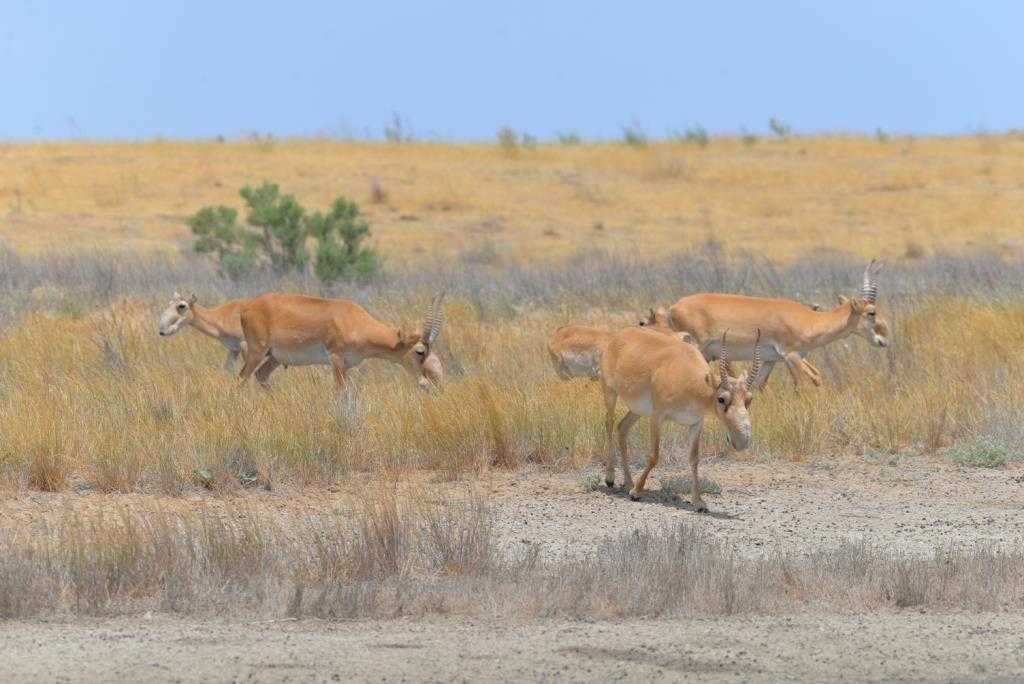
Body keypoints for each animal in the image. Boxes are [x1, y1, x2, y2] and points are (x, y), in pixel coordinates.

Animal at [235, 292, 444, 393]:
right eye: (419, 351)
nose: (431, 381)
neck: (353, 319)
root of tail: (247, 308)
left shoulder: (346, 366)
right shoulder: (335, 359)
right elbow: (340, 391)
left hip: (275, 358)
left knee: (261, 376)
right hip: (257, 352)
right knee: (241, 378)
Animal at [598, 325, 761, 507]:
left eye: (749, 399)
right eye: (721, 399)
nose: (742, 441)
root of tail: (617, 337)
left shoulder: (696, 423)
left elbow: (694, 458)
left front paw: (699, 502)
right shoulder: (657, 417)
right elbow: (654, 455)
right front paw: (636, 492)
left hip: (637, 410)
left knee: (622, 428)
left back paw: (628, 482)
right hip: (610, 392)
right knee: (609, 424)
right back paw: (610, 478)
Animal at [663, 260, 888, 389]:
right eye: (871, 312)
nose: (883, 340)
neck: (809, 319)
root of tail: (673, 307)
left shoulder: (770, 360)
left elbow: (758, 385)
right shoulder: (791, 356)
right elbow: (804, 385)